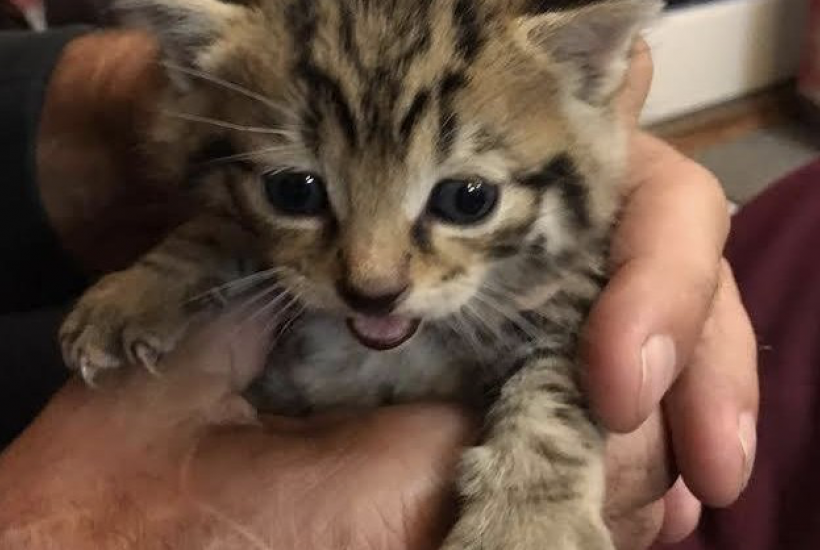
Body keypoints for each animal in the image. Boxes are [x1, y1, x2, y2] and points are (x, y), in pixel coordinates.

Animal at [62, 1, 668, 548]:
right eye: (294, 191)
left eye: (468, 199)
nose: (374, 293)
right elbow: (214, 228)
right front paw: (134, 293)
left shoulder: (572, 291)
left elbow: (554, 398)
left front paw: (528, 525)